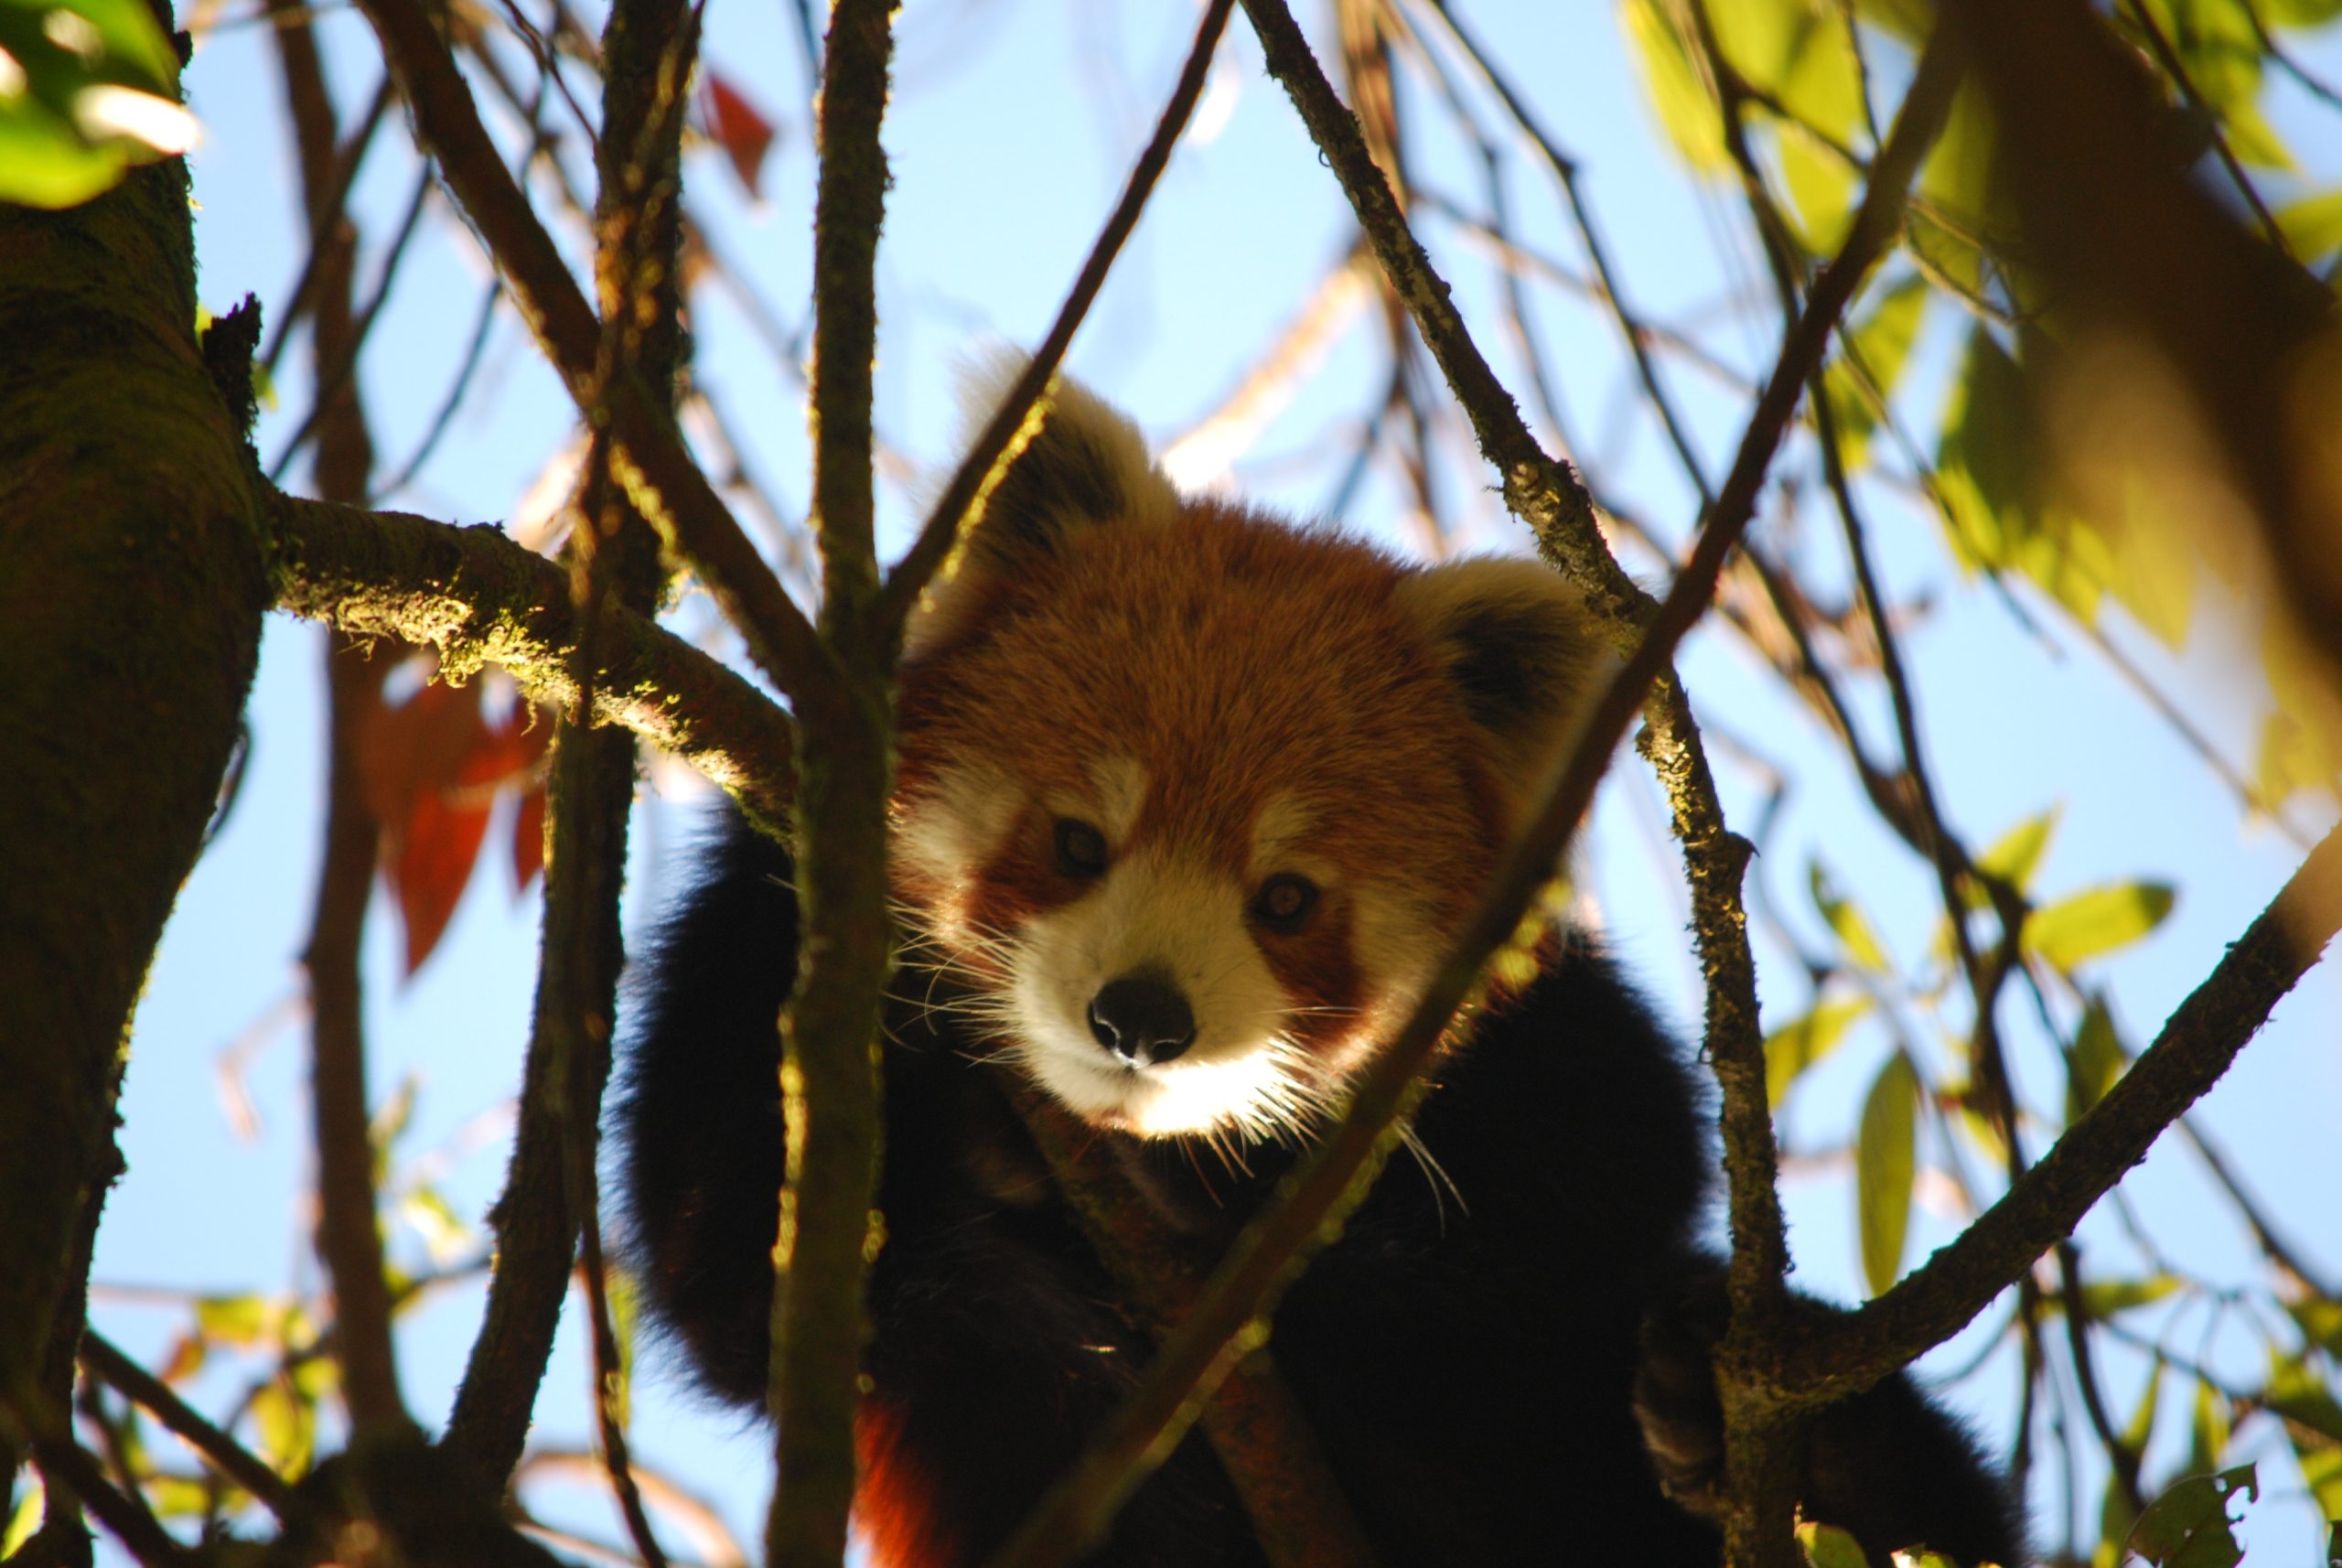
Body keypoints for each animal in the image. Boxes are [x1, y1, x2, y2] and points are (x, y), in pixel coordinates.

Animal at [613, 365, 2023, 1568]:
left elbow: (1593, 1187)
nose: (1141, 1018)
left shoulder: (1549, 1039)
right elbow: (734, 1284)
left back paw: (1820, 1449)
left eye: (1284, 900)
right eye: (1077, 842)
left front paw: (1223, 1192)